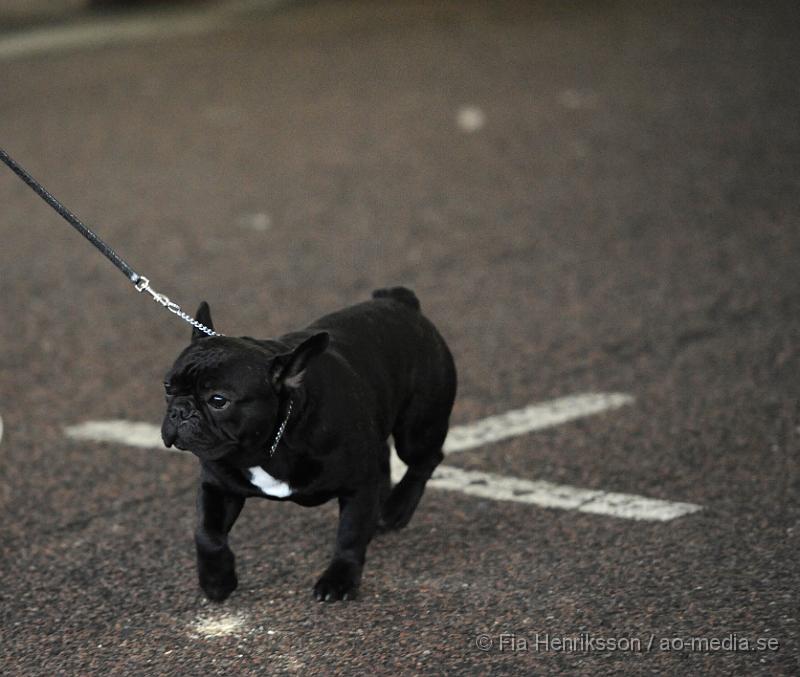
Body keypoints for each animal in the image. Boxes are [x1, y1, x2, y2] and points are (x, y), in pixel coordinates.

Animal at [161, 288, 456, 600]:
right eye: (168, 387)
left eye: (218, 400)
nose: (180, 411)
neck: (271, 445)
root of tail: (400, 301)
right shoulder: (217, 487)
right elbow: (207, 533)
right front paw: (217, 580)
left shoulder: (358, 487)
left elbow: (350, 534)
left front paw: (339, 579)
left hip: (417, 427)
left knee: (426, 459)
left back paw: (396, 508)